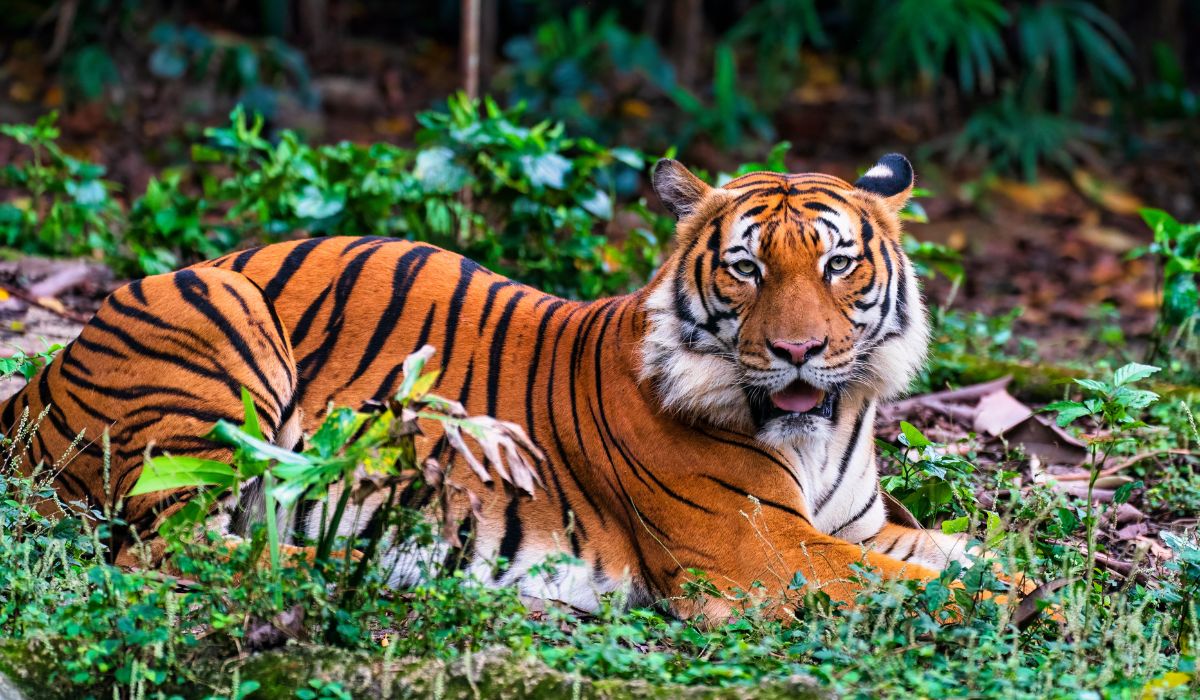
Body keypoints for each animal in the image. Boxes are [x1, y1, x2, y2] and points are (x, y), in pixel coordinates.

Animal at [0, 153, 972, 619]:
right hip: (220, 324)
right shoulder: (762, 552)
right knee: (172, 549)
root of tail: (38, 379)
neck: (823, 427)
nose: (800, 350)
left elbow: (961, 557)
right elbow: (934, 587)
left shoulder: (855, 529)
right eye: (746, 268)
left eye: (838, 264)